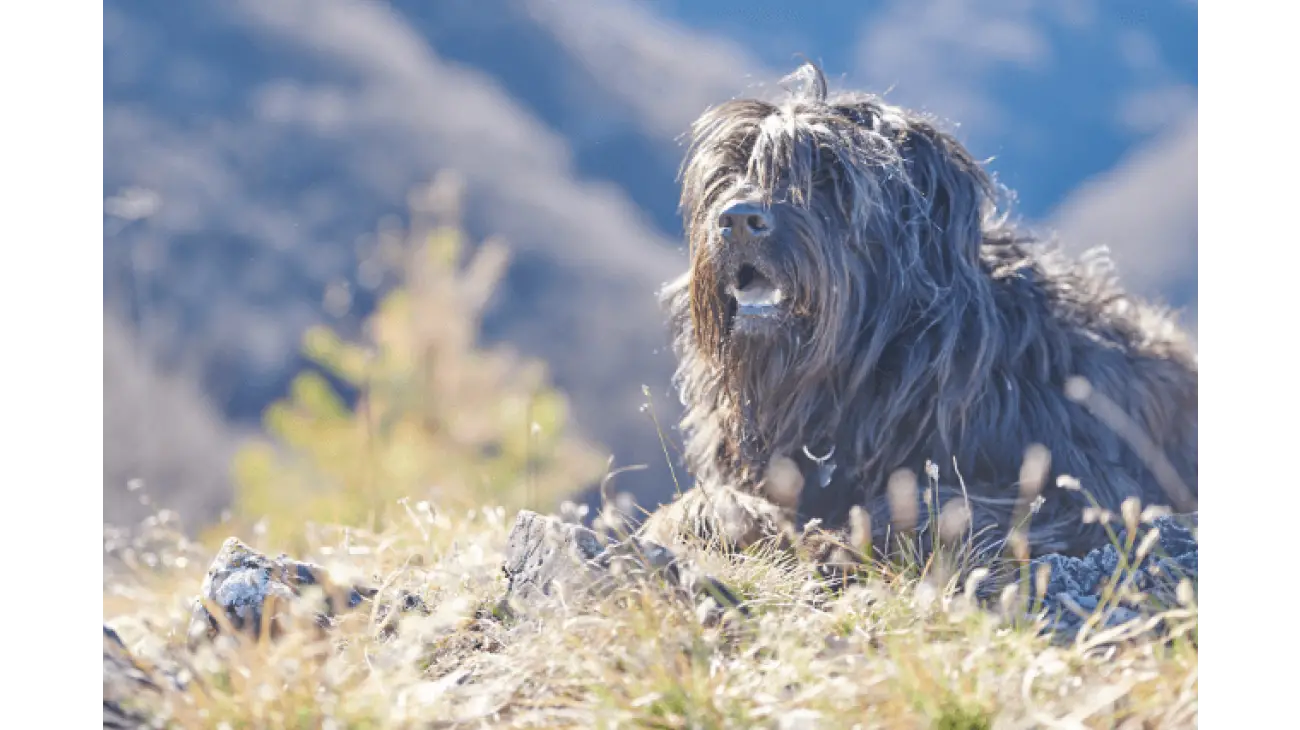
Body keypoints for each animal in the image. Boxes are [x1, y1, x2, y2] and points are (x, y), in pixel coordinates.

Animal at [639, 65, 1196, 555]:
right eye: (732, 169)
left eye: (830, 174)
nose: (737, 219)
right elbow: (701, 503)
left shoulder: (1088, 489)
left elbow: (948, 503)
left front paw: (842, 537)